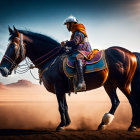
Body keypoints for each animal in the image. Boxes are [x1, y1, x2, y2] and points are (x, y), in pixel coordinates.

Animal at [0, 26, 140, 131]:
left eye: (12, 46)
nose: (2, 69)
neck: (52, 59)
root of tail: (131, 53)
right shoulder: (62, 89)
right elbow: (65, 106)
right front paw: (67, 123)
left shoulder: (58, 87)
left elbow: (60, 107)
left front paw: (61, 125)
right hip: (110, 84)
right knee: (116, 102)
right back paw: (103, 124)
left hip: (123, 84)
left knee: (132, 101)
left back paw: (132, 126)